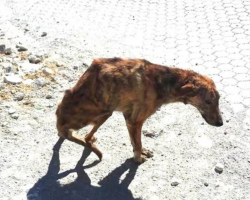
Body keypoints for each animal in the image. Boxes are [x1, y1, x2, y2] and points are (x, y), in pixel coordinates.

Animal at [56, 57, 223, 162]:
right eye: (208, 101)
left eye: (218, 100)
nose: (221, 123)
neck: (162, 81)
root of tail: (59, 121)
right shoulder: (135, 121)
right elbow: (137, 143)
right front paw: (138, 159)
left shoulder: (129, 118)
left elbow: (135, 141)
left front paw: (141, 152)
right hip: (100, 113)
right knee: (68, 134)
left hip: (106, 114)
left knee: (85, 136)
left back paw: (90, 141)